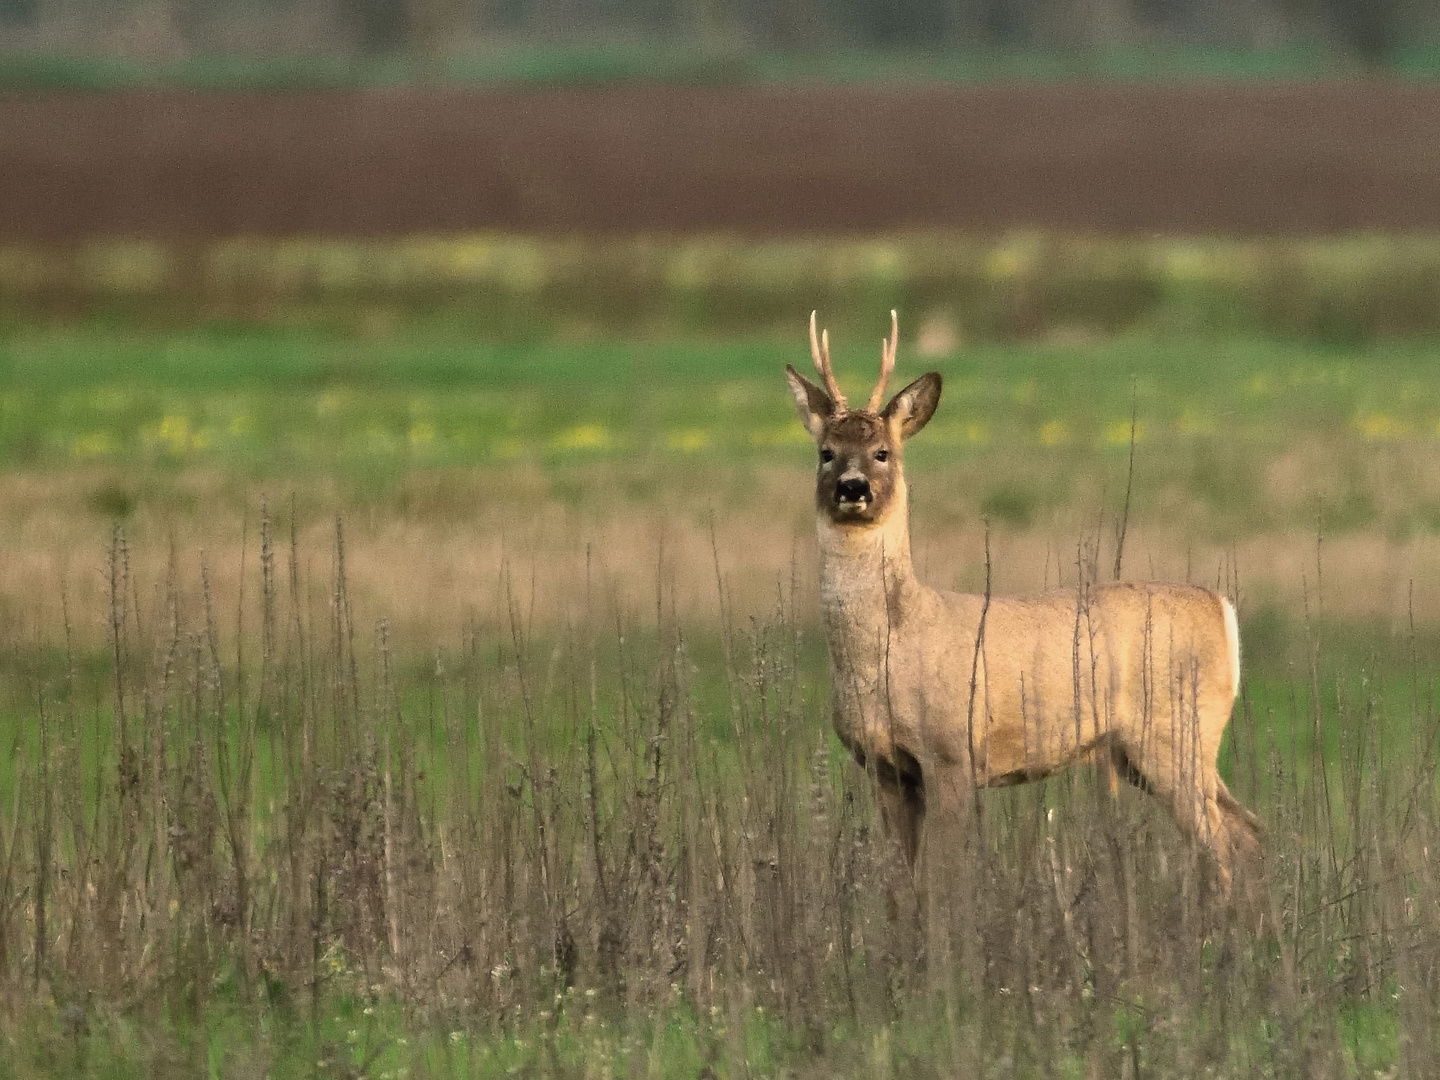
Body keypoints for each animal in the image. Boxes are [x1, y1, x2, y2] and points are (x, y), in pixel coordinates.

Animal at [789, 311, 1261, 898]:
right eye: (825, 452)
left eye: (883, 453)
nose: (853, 488)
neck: (889, 650)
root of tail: (1221, 607)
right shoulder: (884, 767)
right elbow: (905, 888)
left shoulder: (952, 752)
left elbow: (943, 883)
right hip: (1157, 749)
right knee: (1249, 830)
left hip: (1177, 732)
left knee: (1222, 844)